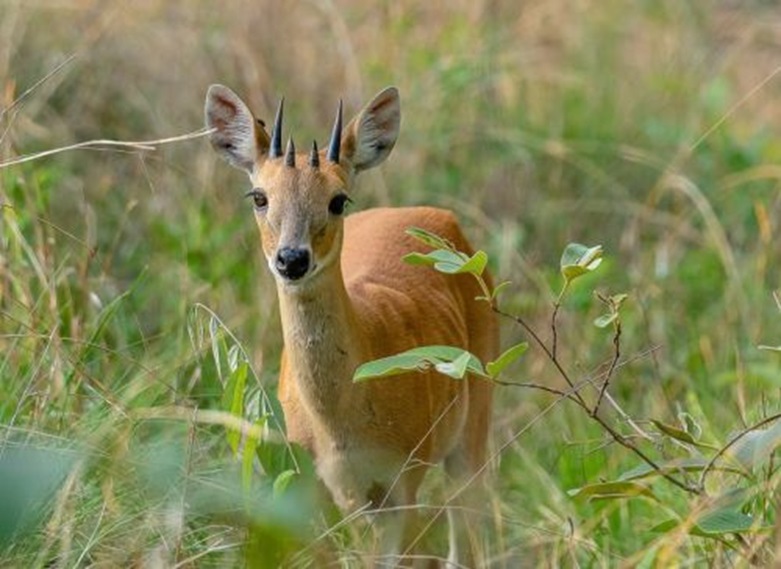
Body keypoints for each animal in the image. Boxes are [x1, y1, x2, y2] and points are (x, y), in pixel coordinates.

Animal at [204, 83, 496, 564]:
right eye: (259, 196)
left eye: (337, 199)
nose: (291, 259)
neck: (340, 425)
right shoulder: (311, 481)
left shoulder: (404, 473)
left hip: (475, 419)